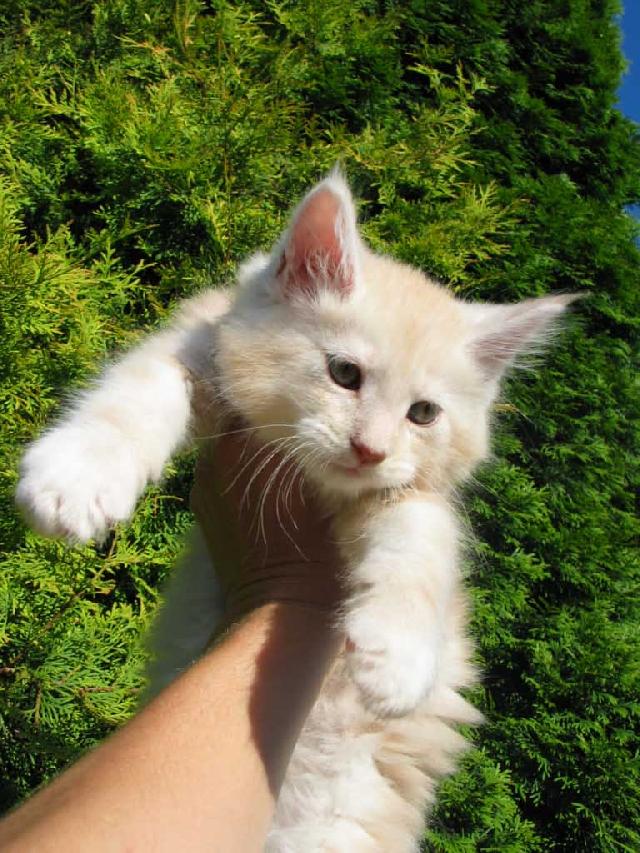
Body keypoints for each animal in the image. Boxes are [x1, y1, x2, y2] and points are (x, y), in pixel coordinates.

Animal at [16, 171, 577, 852]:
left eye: (423, 414)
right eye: (344, 373)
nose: (370, 450)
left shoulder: (415, 495)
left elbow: (420, 549)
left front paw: (397, 658)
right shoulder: (197, 345)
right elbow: (134, 397)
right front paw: (75, 476)